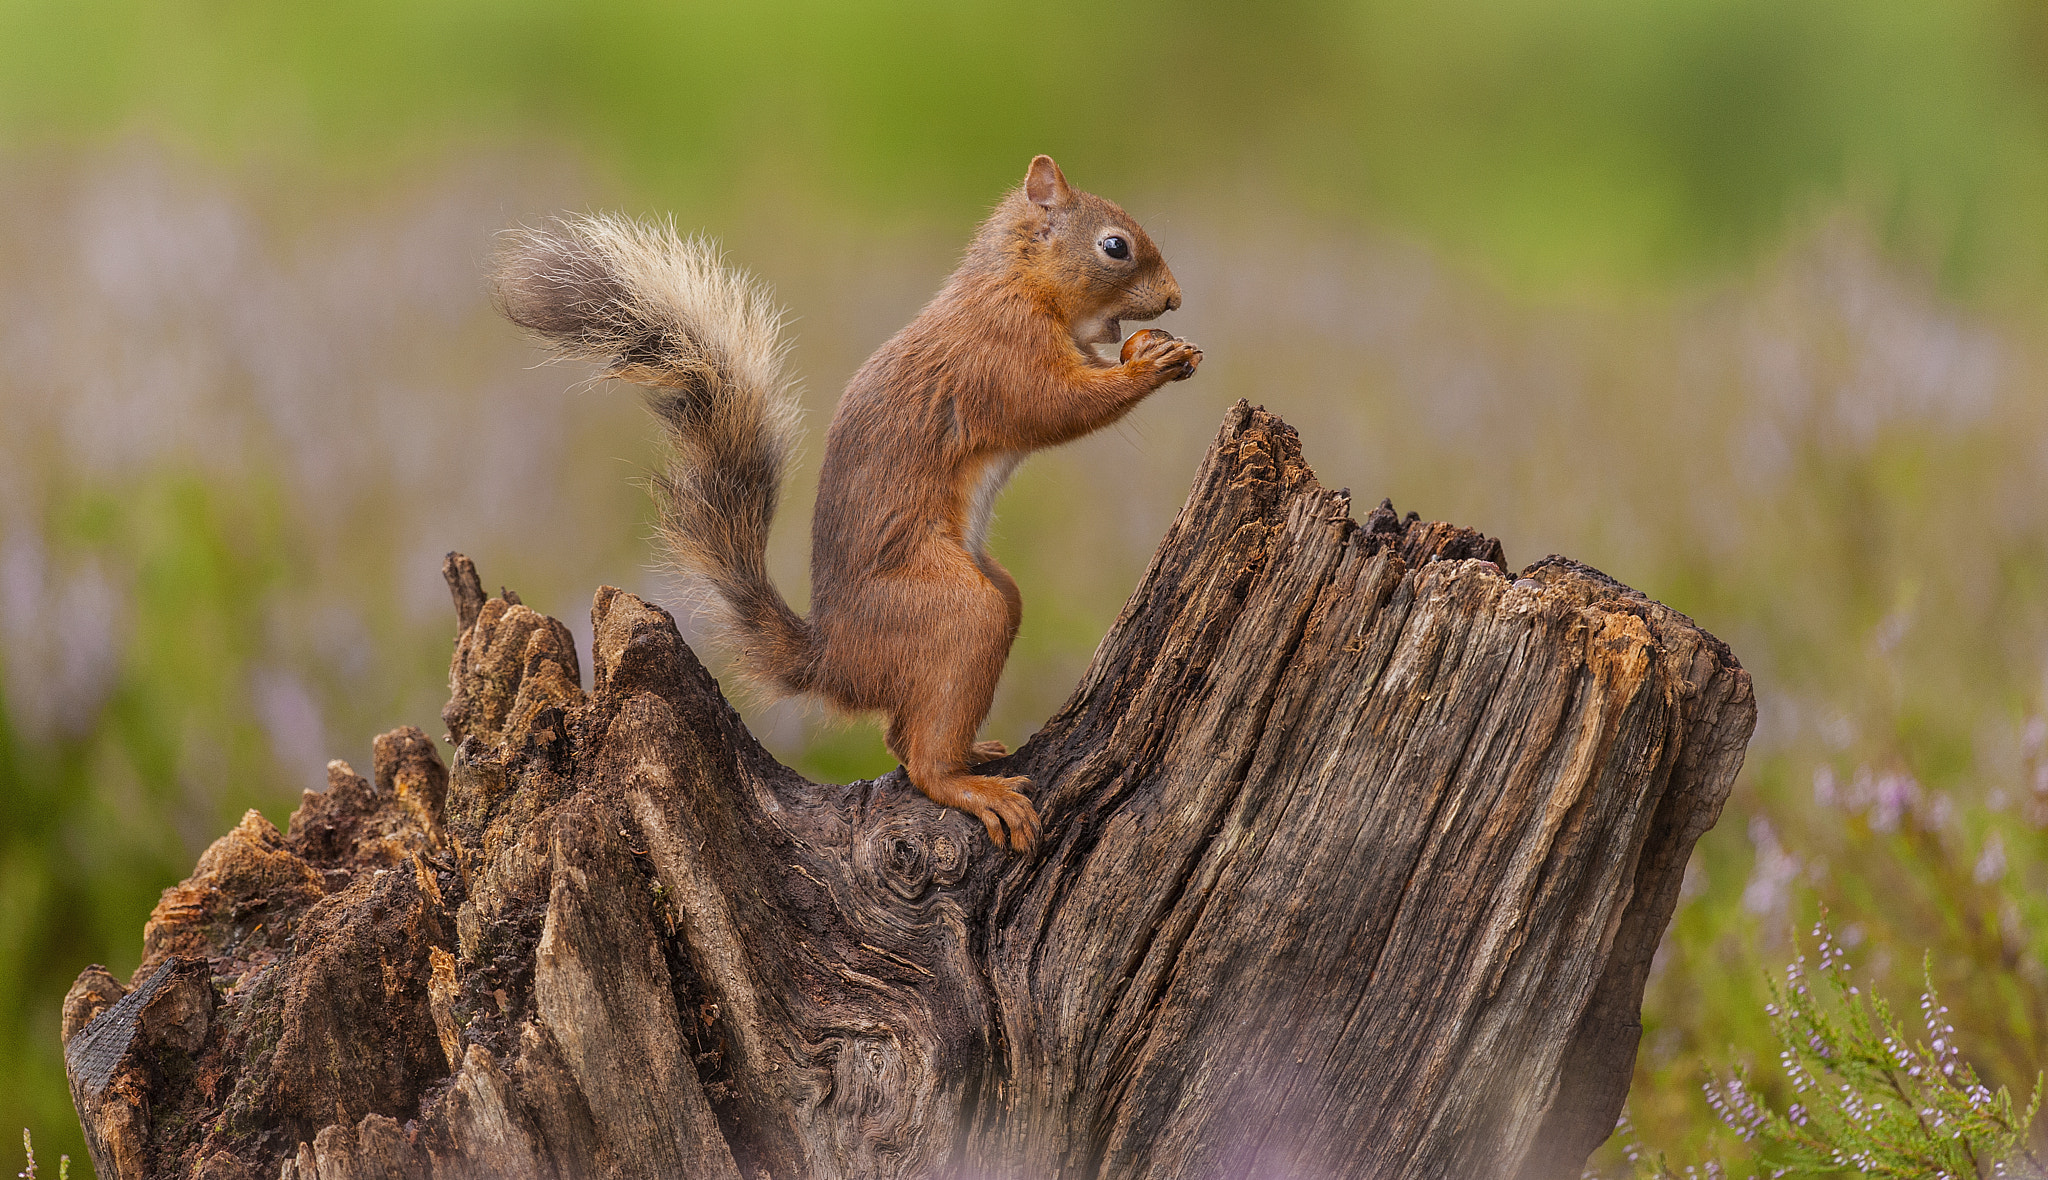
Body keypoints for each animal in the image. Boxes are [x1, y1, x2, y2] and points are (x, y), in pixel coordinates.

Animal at [495, 158, 1196, 856]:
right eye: (1115, 246)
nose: (1175, 298)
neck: (1013, 282)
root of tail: (834, 664)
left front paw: (1146, 349)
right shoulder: (1001, 356)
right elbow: (1055, 405)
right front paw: (1150, 365)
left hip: (988, 594)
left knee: (901, 736)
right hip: (956, 610)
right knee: (923, 760)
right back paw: (971, 786)